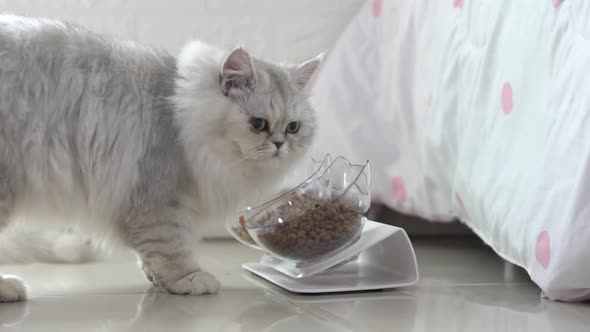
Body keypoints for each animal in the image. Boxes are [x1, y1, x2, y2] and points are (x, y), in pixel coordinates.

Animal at [0, 14, 324, 302]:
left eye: (293, 127)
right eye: (258, 124)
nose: (280, 144)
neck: (178, 112)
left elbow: (149, 251)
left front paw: (155, 278)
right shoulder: (158, 198)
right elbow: (171, 248)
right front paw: (189, 280)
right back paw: (10, 288)